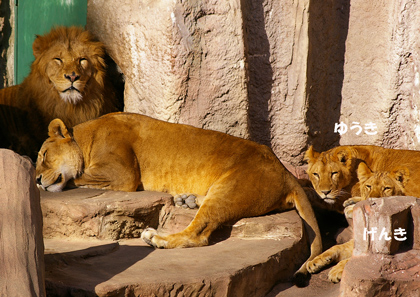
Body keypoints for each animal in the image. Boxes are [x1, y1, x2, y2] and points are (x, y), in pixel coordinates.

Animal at [36, 111, 324, 284]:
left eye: (43, 155)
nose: (37, 180)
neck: (86, 139)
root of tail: (284, 171)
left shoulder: (123, 175)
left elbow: (75, 177)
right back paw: (188, 200)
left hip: (228, 189)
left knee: (197, 234)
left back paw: (156, 238)